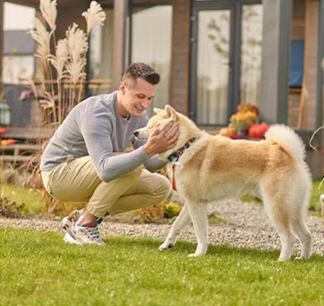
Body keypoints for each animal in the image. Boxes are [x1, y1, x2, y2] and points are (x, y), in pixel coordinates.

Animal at [134, 106, 312, 260]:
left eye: (152, 127)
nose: (135, 132)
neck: (184, 147)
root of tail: (290, 155)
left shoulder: (196, 204)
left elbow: (200, 233)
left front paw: (199, 254)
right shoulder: (191, 203)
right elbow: (176, 225)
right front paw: (167, 244)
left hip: (275, 207)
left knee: (289, 237)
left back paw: (282, 260)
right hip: (293, 209)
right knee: (306, 235)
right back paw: (302, 258)